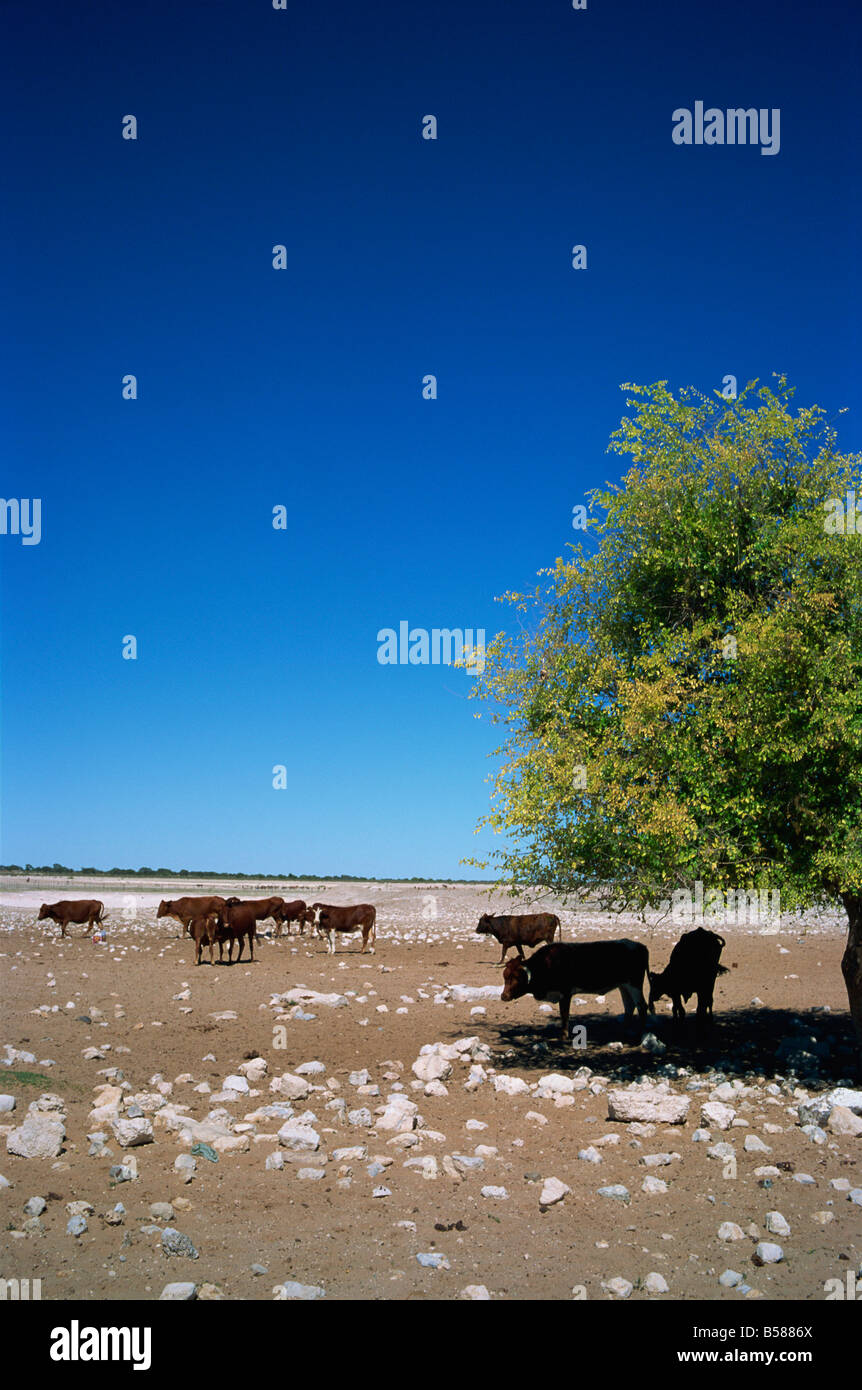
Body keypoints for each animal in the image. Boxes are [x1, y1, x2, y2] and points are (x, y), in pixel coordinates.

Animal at [500, 939, 650, 1039]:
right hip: (623, 986)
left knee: (642, 1006)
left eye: (516, 977)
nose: (503, 996)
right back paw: (625, 1030)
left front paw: (564, 1036)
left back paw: (642, 1033)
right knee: (629, 1006)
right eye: (505, 976)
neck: (544, 965)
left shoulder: (565, 993)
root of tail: (640, 945)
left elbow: (564, 1015)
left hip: (634, 985)